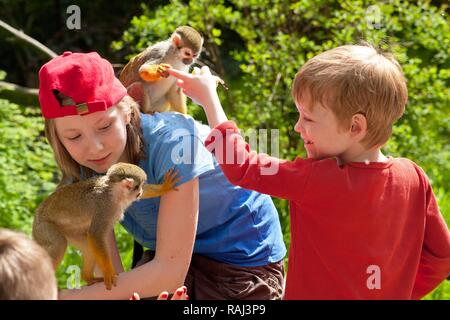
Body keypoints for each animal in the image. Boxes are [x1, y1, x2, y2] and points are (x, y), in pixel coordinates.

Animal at [32, 162, 179, 290]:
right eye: (138, 186)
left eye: (142, 187)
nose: (140, 192)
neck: (114, 193)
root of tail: (36, 215)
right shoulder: (105, 207)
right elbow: (96, 234)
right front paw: (108, 272)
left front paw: (164, 187)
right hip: (43, 227)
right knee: (59, 243)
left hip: (69, 231)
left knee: (86, 245)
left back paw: (88, 278)